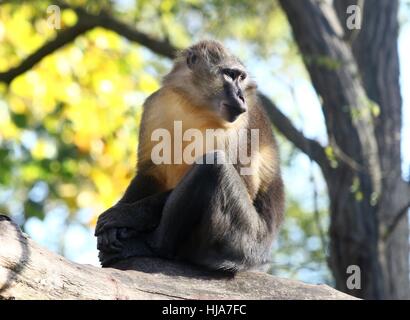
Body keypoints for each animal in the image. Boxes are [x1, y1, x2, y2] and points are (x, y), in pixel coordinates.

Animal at [94, 38, 284, 272]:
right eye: (230, 75)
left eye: (241, 77)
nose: (241, 96)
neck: (194, 106)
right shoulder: (157, 103)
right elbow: (151, 172)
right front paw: (118, 220)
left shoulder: (241, 124)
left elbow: (245, 184)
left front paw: (127, 216)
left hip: (243, 242)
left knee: (213, 166)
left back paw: (155, 247)